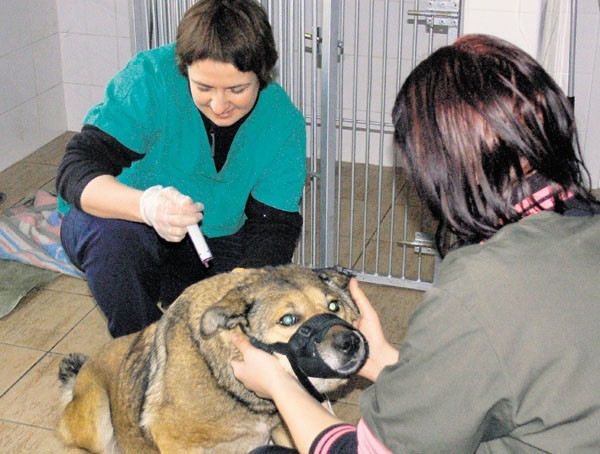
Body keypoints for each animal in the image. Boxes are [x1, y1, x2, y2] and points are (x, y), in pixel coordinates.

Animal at [56, 264, 368, 452]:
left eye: (334, 306)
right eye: (288, 319)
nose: (350, 342)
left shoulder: (284, 429)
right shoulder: (174, 441)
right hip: (97, 421)